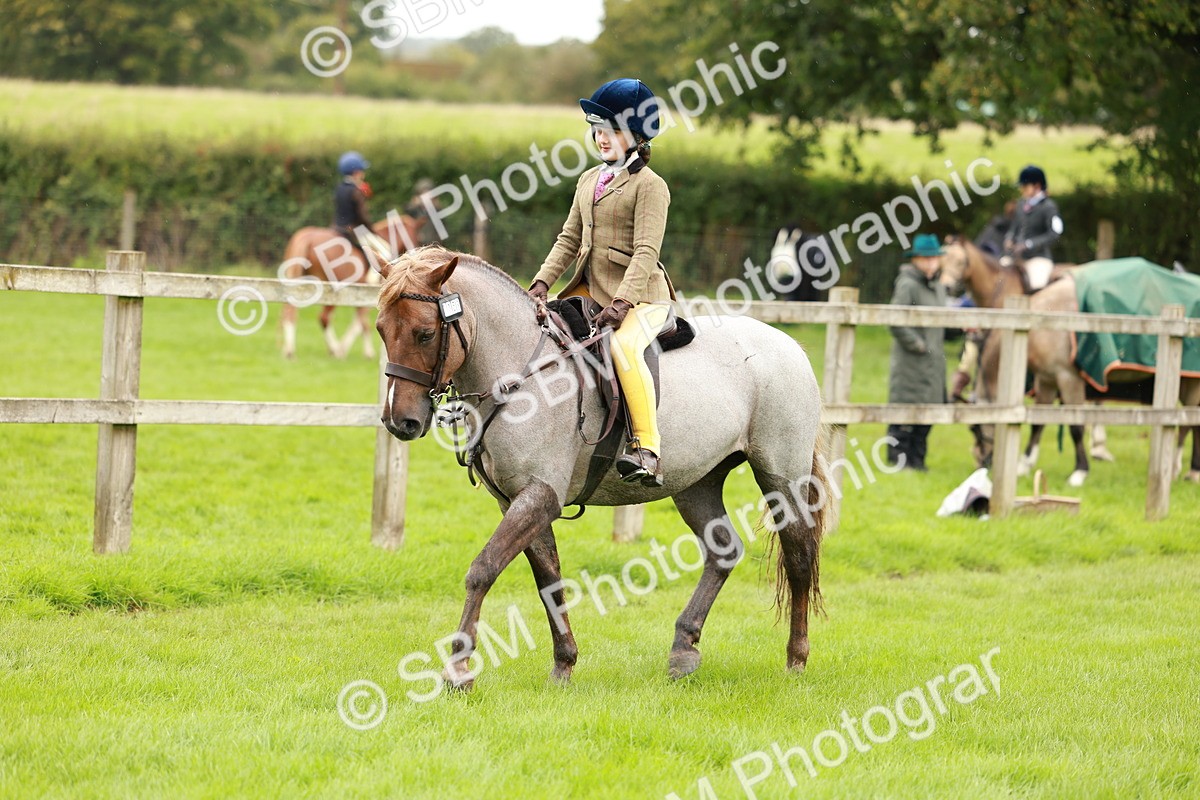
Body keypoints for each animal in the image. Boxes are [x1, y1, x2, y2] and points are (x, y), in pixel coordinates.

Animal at [279, 214, 425, 359]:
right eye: (415, 235)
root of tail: (308, 238)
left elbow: (359, 322)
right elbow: (362, 323)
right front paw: (365, 351)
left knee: (291, 312)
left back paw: (290, 350)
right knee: (324, 317)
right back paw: (333, 349)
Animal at [374, 245, 830, 689]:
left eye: (425, 333)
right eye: (381, 329)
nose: (401, 421)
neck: (522, 375)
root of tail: (789, 345)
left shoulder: (540, 495)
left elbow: (483, 569)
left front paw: (459, 670)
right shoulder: (517, 500)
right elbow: (548, 580)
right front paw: (564, 664)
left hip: (781, 475)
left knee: (799, 555)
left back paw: (796, 659)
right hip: (697, 483)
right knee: (723, 551)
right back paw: (683, 649)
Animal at [941, 236, 1200, 484]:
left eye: (974, 429)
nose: (981, 462)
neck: (1041, 321)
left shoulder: (1068, 379)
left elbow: (1075, 426)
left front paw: (1080, 471)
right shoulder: (1046, 380)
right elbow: (1037, 422)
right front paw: (1024, 465)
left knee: (1190, 424)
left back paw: (1186, 470)